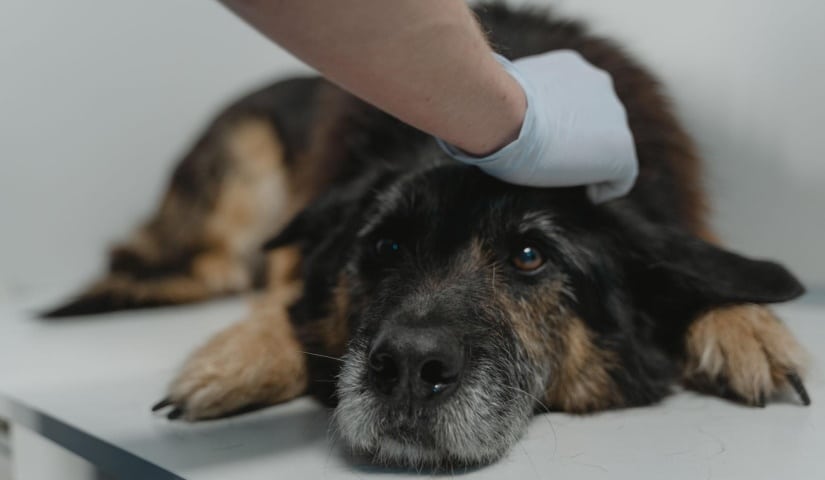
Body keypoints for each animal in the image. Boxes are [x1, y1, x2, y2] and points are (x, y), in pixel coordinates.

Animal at [43, 2, 804, 468]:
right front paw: (243, 355)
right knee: (219, 267)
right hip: (245, 161)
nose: (409, 368)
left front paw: (746, 325)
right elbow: (291, 291)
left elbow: (709, 265)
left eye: (530, 256)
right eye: (385, 248)